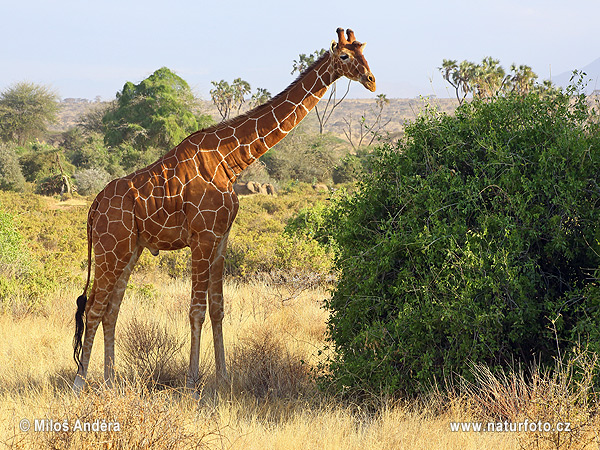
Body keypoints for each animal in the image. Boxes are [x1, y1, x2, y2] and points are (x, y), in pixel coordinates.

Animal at [72, 28, 376, 392]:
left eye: (366, 52)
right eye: (345, 56)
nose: (372, 80)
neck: (230, 161)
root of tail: (94, 207)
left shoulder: (221, 238)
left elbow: (217, 308)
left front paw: (223, 378)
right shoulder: (202, 238)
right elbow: (196, 310)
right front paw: (192, 382)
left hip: (130, 250)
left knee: (111, 309)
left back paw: (111, 381)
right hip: (110, 249)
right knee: (93, 308)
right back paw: (79, 383)